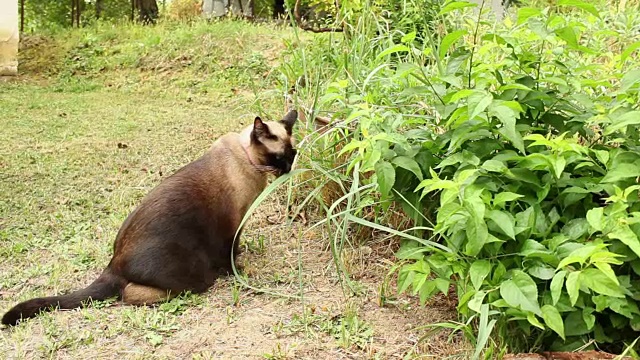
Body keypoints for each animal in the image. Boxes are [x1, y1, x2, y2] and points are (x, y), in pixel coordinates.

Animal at [2, 109, 298, 326]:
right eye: (279, 157)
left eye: (293, 155)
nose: (289, 168)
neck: (248, 160)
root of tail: (113, 262)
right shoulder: (234, 225)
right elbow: (232, 254)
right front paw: (239, 269)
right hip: (196, 276)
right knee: (128, 294)